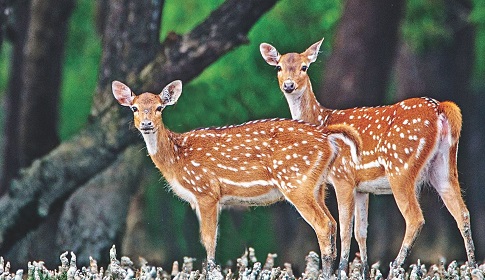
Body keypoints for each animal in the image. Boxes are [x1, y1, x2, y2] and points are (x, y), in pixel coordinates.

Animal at [111, 79, 362, 278]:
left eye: (159, 107)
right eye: (134, 107)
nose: (146, 124)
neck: (176, 160)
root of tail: (326, 137)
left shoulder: (206, 191)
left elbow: (209, 240)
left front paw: (210, 271)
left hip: (296, 182)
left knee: (324, 224)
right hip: (317, 186)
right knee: (333, 222)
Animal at [260, 39, 476, 278]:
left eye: (304, 67)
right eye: (279, 67)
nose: (289, 85)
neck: (321, 119)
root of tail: (441, 108)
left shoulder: (343, 176)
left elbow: (345, 229)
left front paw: (342, 270)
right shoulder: (362, 188)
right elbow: (361, 232)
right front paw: (362, 271)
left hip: (400, 167)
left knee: (415, 218)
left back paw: (395, 269)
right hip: (443, 165)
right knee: (462, 213)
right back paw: (473, 267)